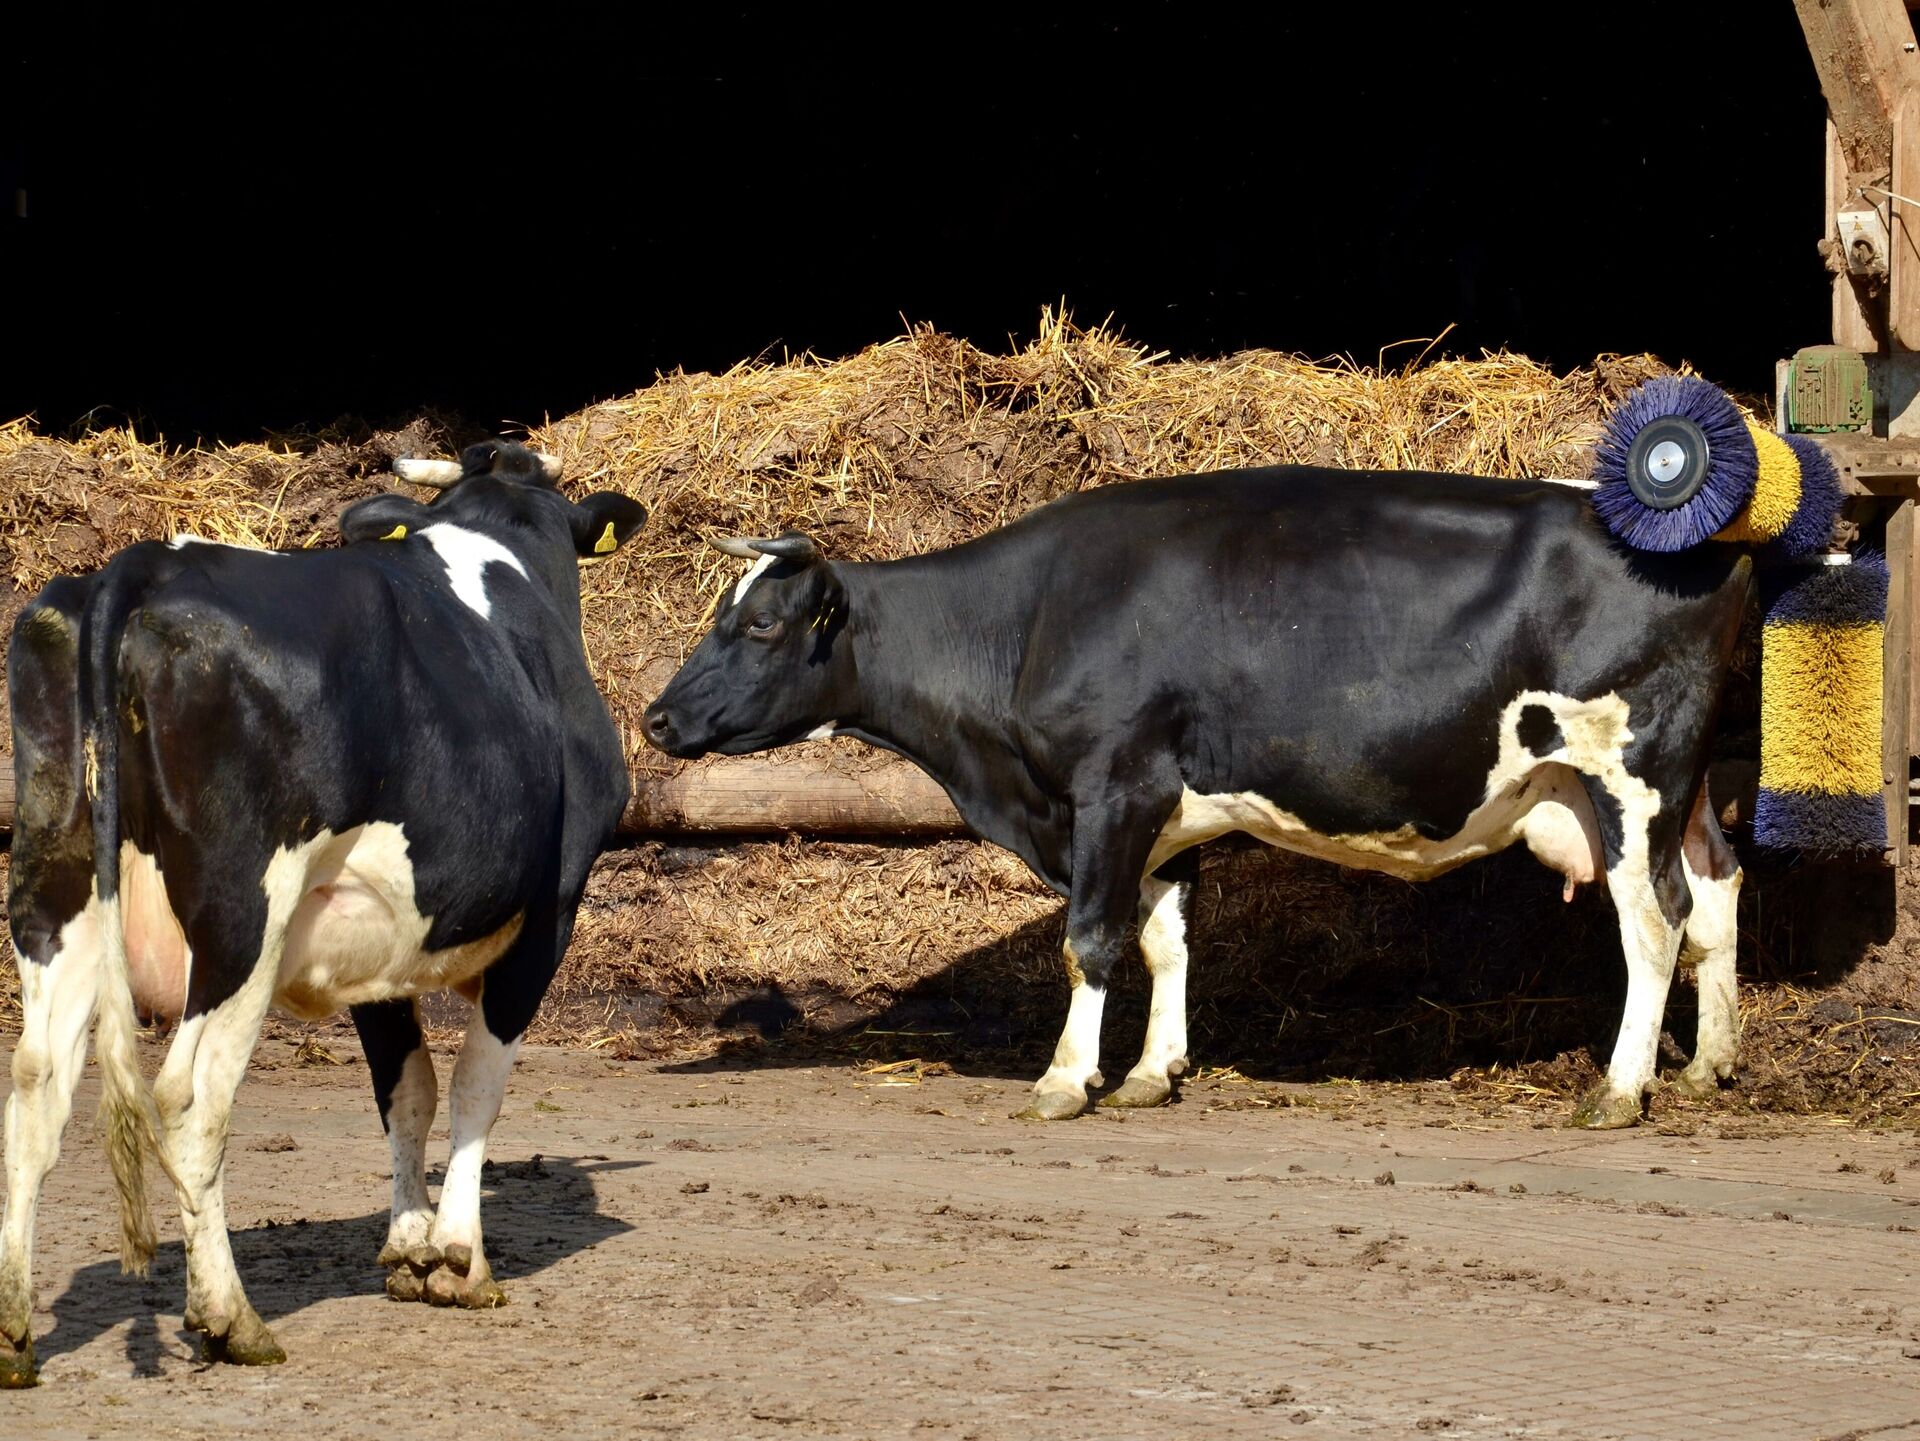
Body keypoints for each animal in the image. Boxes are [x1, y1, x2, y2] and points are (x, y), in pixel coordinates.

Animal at [0, 439, 648, 1389]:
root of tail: (145, 561)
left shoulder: (375, 937)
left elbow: (407, 1086)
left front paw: (410, 1246)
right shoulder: (553, 912)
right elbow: (476, 1083)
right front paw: (461, 1256)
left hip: (60, 887)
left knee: (35, 1084)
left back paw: (16, 1334)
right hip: (243, 917)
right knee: (190, 1096)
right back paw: (232, 1319)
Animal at [641, 468, 1758, 1135]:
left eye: (762, 625)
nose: (654, 718)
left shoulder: (1111, 786)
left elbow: (1091, 941)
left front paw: (1066, 1079)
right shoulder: (1163, 818)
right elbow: (1166, 940)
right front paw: (1153, 1069)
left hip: (1630, 776)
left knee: (1654, 920)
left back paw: (1620, 1087)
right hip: (1680, 791)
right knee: (1715, 893)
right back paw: (1708, 1065)